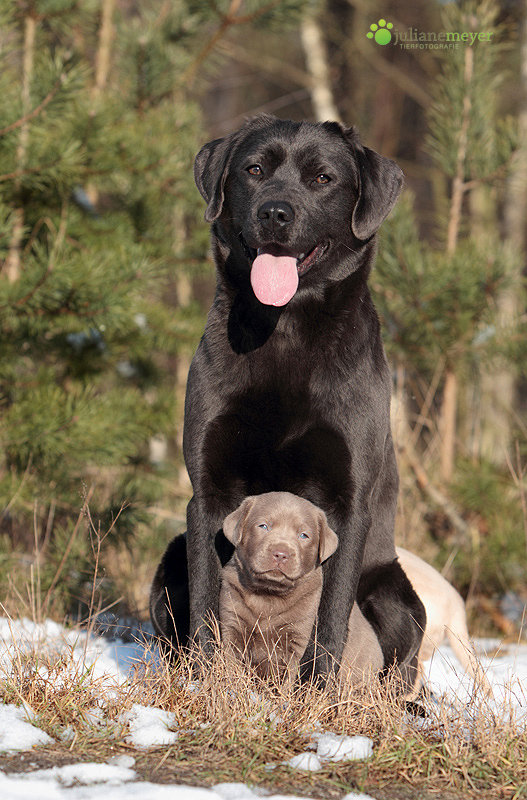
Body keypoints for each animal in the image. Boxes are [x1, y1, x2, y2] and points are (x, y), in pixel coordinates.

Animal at [219, 494, 384, 680]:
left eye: (303, 535)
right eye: (263, 526)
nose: (281, 553)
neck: (268, 594)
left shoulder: (296, 637)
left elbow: (288, 676)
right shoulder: (232, 623)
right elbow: (231, 664)